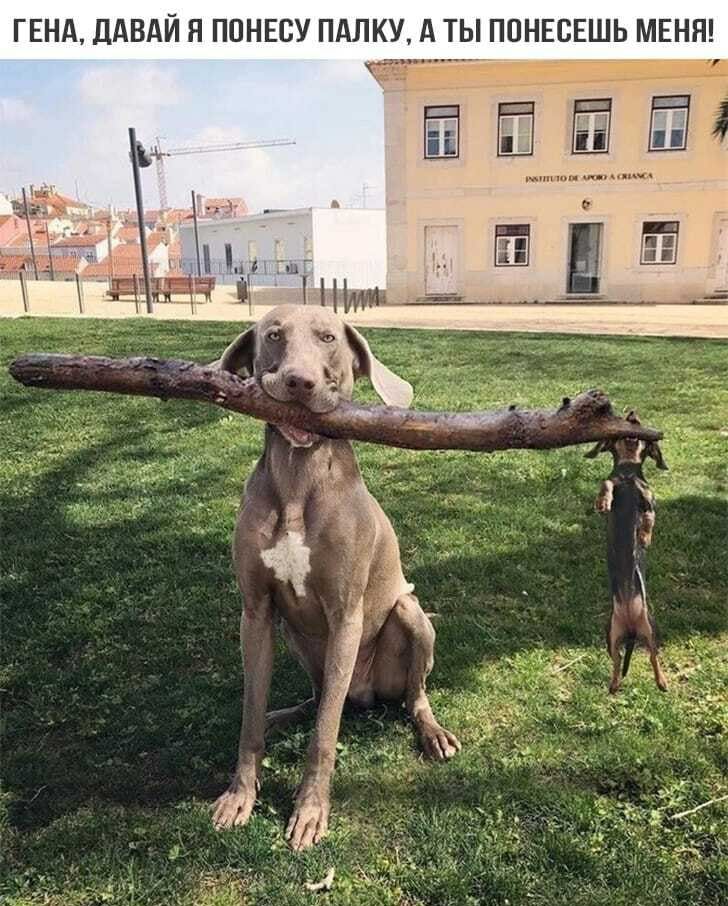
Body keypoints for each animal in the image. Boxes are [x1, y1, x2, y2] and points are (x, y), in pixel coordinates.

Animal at [212, 304, 460, 848]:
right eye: (273, 336)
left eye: (328, 338)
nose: (299, 382)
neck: (297, 480)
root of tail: (366, 697)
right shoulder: (256, 613)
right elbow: (249, 716)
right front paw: (240, 795)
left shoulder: (346, 614)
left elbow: (325, 735)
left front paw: (310, 810)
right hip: (295, 636)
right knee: (319, 696)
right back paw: (288, 713)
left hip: (411, 617)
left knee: (408, 696)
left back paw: (432, 732)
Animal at [588, 410, 668, 692]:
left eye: (637, 420)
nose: (632, 412)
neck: (628, 472)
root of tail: (632, 629)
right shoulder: (614, 481)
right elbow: (606, 483)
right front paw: (602, 501)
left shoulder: (649, 497)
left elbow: (650, 515)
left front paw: (643, 536)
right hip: (610, 633)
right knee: (617, 659)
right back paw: (614, 685)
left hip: (652, 630)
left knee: (654, 657)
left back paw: (662, 681)